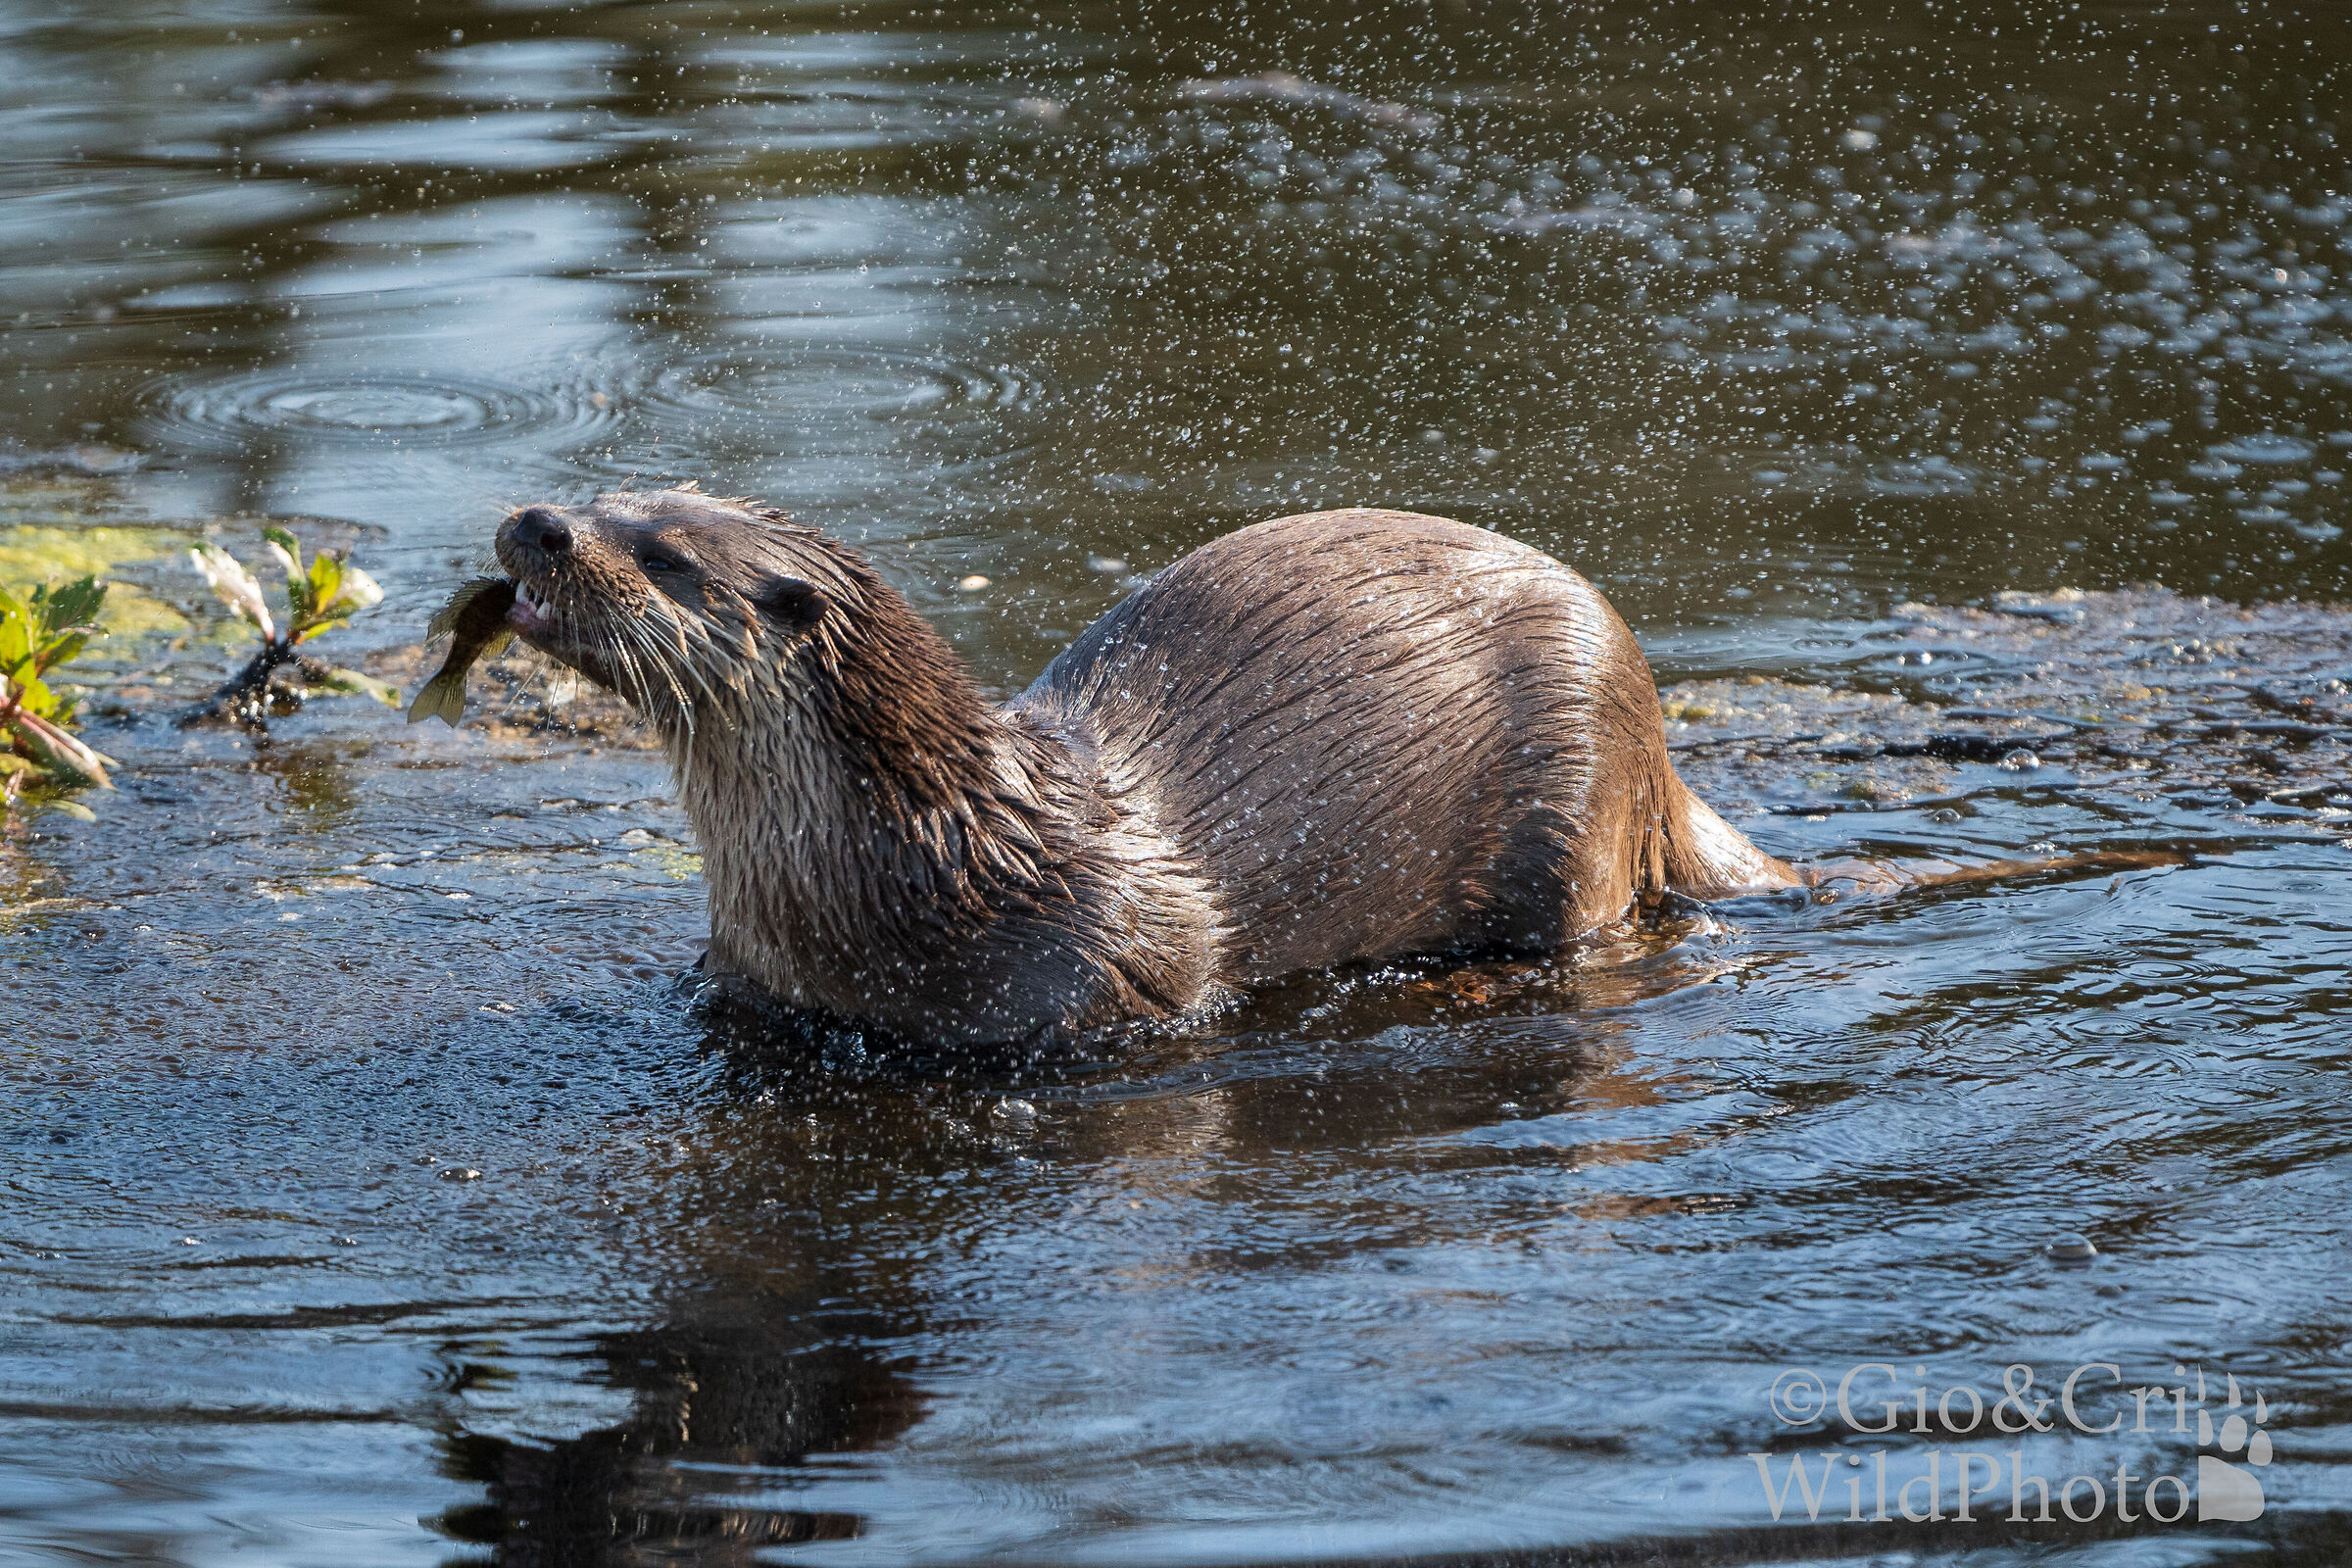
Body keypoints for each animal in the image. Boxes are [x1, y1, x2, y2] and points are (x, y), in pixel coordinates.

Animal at [491, 491, 1804, 1043]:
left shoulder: (1092, 991)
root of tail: (1652, 716)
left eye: (664, 554)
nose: (538, 522)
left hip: (1578, 785)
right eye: (605, 488)